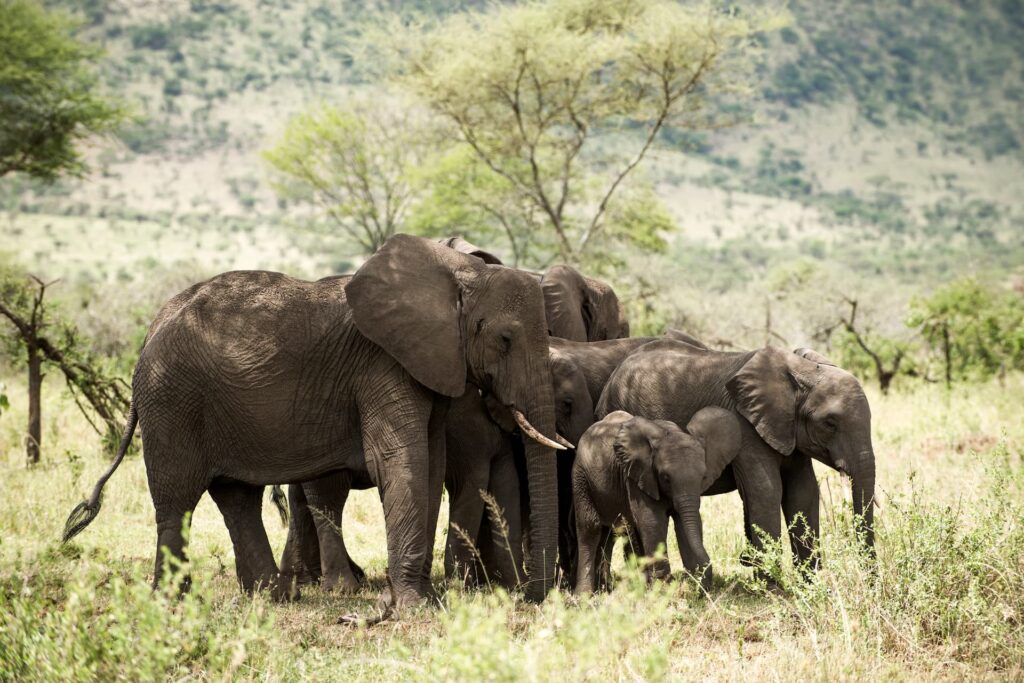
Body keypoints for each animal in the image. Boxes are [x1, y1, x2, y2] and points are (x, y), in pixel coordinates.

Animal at [63, 234, 565, 608]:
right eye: (505, 339)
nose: (531, 597)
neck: (459, 274)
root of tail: (151, 328)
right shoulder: (382, 364)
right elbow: (398, 460)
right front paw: (415, 606)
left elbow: (431, 463)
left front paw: (425, 599)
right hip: (172, 400)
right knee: (177, 501)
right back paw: (173, 604)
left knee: (237, 497)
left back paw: (274, 596)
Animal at [572, 408, 742, 594]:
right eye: (665, 477)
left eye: (703, 477)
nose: (703, 589)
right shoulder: (638, 476)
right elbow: (652, 521)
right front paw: (663, 590)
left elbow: (685, 522)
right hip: (581, 476)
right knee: (591, 528)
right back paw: (585, 596)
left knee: (613, 531)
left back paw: (606, 589)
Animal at [597, 341, 876, 573]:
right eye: (830, 424)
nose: (868, 577)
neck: (800, 372)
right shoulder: (746, 426)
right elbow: (766, 490)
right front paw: (775, 590)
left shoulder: (789, 432)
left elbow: (803, 491)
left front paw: (810, 584)